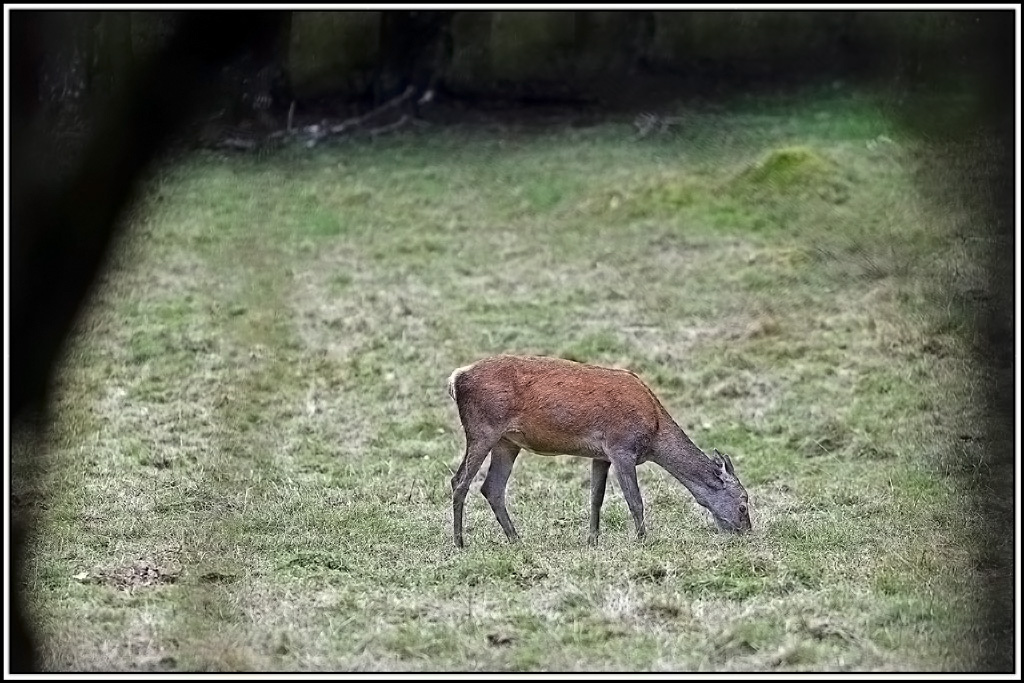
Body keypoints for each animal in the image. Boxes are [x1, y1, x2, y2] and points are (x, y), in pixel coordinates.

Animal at [446, 355, 752, 547]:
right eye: (743, 504)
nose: (747, 533)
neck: (654, 432)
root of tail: (456, 379)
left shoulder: (600, 455)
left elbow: (596, 498)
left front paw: (592, 540)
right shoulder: (621, 448)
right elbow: (635, 500)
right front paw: (643, 540)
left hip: (507, 442)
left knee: (492, 487)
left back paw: (516, 540)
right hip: (482, 429)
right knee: (459, 480)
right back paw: (460, 542)